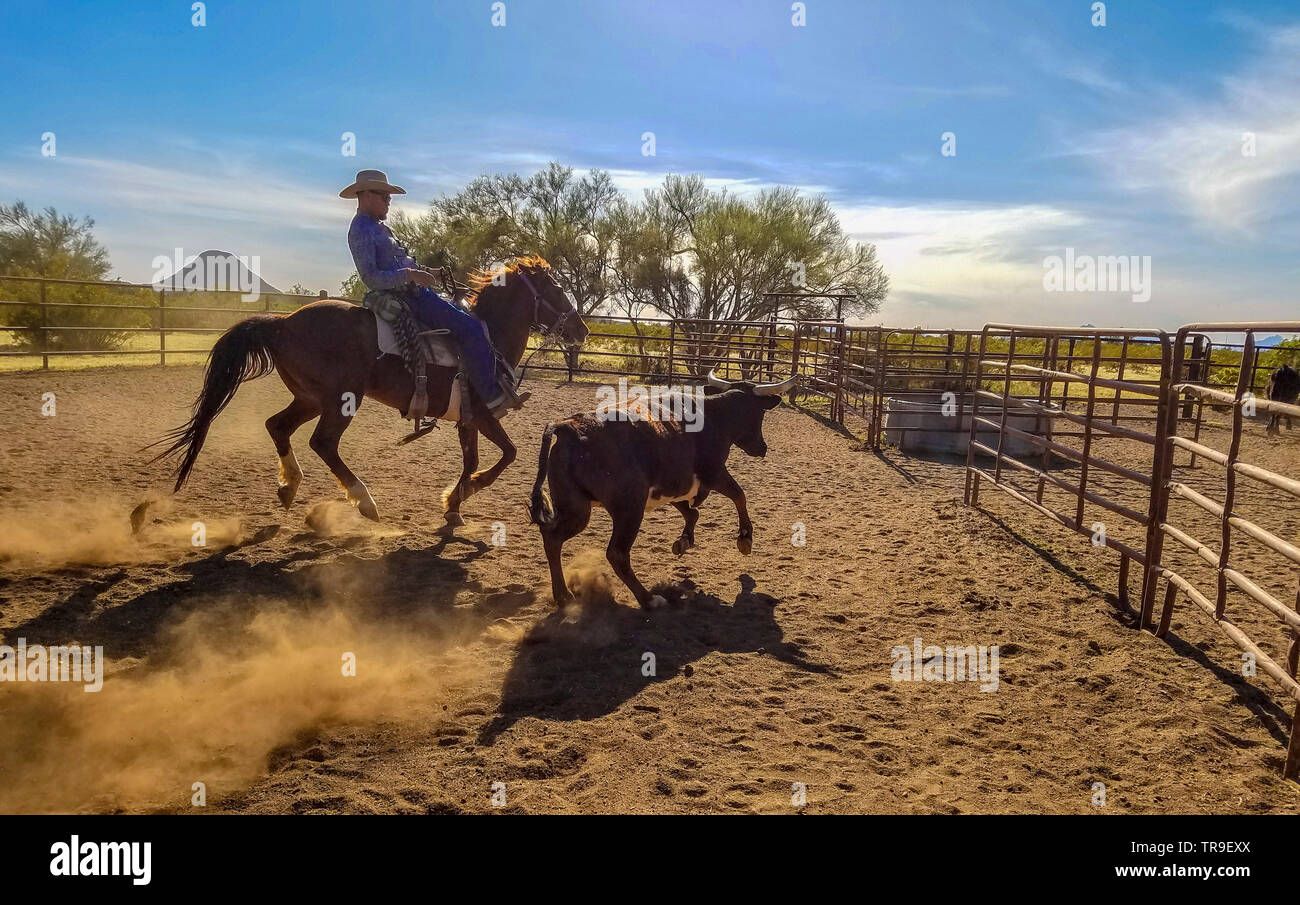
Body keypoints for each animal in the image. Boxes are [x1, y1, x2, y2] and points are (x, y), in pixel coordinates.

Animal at [148, 250, 590, 527]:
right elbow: (507, 455)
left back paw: (289, 487)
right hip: (341, 399)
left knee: (278, 426)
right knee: (323, 443)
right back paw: (364, 501)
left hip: (310, 398)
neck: (486, 335)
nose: (581, 329)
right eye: (555, 290)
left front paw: (454, 503)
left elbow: (473, 460)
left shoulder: (466, 419)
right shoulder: (483, 413)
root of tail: (282, 322)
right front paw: (464, 494)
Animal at [525, 366, 790, 608]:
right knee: (616, 553)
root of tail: (568, 428)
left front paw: (684, 541)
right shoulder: (714, 473)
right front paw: (745, 537)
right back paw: (649, 599)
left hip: (576, 508)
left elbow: (692, 512)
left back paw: (564, 595)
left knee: (552, 538)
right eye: (759, 414)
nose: (762, 448)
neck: (715, 417)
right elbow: (738, 495)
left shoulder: (673, 485)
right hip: (627, 509)